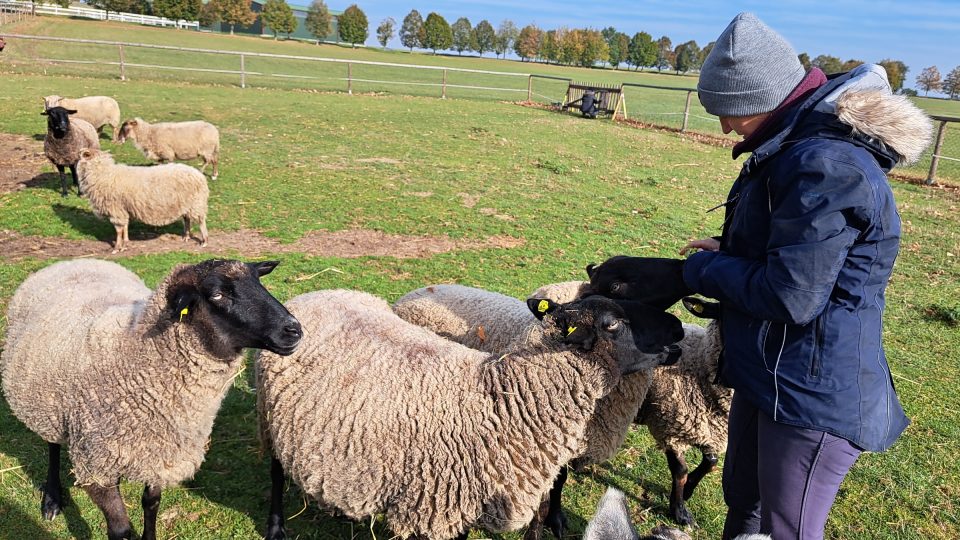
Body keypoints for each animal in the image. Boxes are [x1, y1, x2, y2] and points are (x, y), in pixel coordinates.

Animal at [0, 258, 300, 540]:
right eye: (217, 295)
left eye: (258, 281)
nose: (294, 330)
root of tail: (73, 261)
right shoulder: (96, 465)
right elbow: (120, 529)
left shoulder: (158, 451)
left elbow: (151, 503)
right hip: (47, 402)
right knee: (51, 444)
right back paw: (51, 499)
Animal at [77, 148, 210, 253]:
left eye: (82, 154)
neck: (102, 173)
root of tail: (199, 175)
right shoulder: (123, 208)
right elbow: (125, 227)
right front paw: (125, 243)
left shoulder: (116, 209)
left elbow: (119, 230)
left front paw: (117, 248)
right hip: (186, 204)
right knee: (187, 219)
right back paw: (186, 237)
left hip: (197, 202)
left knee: (201, 221)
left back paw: (204, 241)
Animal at [258, 292, 688, 540]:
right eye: (613, 325)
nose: (676, 345)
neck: (504, 398)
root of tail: (317, 292)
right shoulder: (434, 508)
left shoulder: (463, 502)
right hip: (270, 415)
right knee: (276, 472)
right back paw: (276, 527)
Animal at [584, 256, 736, 528]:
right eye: (720, 314)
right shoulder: (671, 427)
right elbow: (680, 471)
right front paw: (679, 510)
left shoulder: (709, 430)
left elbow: (710, 463)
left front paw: (689, 491)